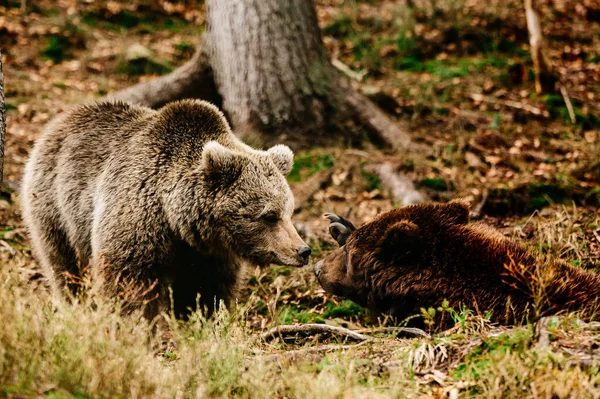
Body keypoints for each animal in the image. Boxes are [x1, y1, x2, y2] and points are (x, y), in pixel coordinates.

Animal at [21, 99, 312, 318]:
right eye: (269, 216)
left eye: (289, 211)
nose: (303, 250)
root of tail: (60, 120)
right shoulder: (136, 220)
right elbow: (128, 283)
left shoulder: (208, 254)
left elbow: (206, 291)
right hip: (56, 207)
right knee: (64, 265)